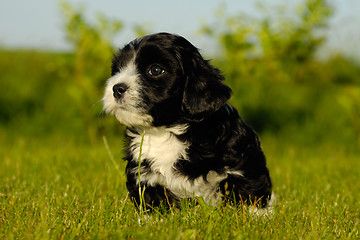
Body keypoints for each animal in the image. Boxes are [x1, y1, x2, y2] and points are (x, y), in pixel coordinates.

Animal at [102, 33, 272, 210]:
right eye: (118, 69)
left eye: (155, 70)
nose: (117, 88)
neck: (166, 132)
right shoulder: (142, 175)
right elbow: (153, 201)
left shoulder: (244, 160)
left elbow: (250, 192)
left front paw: (256, 215)